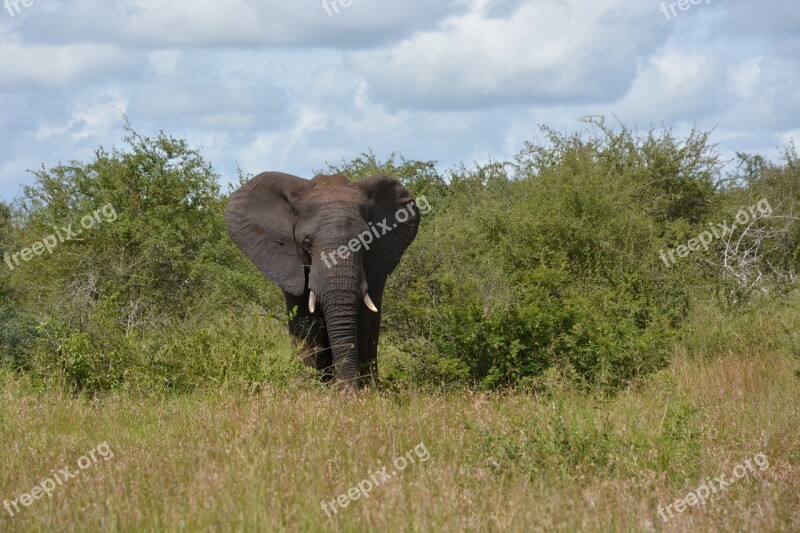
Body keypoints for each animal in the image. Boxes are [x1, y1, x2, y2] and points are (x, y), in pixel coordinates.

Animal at [225, 172, 422, 388]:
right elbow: (304, 316)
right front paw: (312, 387)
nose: (348, 392)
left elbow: (363, 318)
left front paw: (363, 390)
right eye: (306, 243)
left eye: (366, 240)